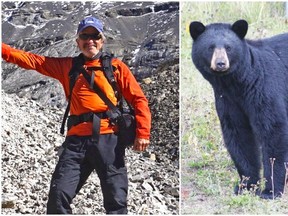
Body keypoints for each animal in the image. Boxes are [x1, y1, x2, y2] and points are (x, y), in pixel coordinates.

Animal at [189, 20, 288, 199]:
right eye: (210, 47)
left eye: (228, 47)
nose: (221, 63)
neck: (237, 83)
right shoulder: (227, 100)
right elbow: (238, 134)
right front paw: (246, 185)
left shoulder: (264, 89)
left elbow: (272, 130)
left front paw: (270, 190)